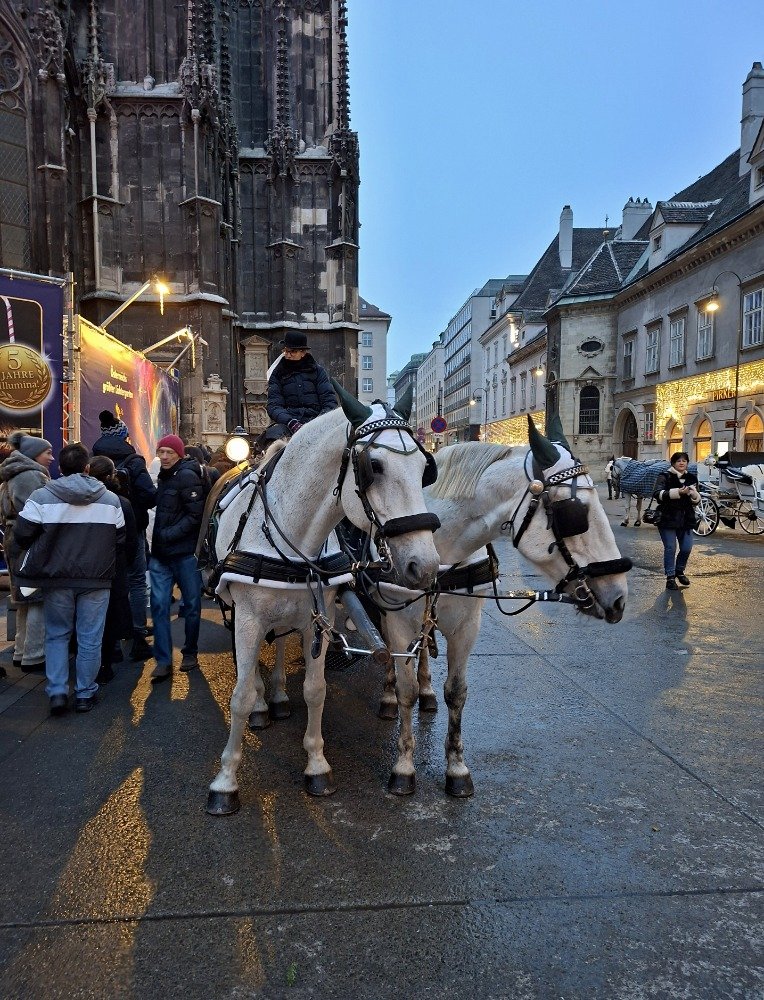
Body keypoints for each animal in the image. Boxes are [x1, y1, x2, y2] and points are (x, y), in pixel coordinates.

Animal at [206, 384, 441, 815]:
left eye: (423, 468)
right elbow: (240, 697)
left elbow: (316, 690)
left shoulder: (320, 614)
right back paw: (264, 703)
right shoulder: (247, 618)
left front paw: (316, 765)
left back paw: (278, 695)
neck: (292, 531)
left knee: (282, 642)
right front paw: (226, 780)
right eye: (374, 467)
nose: (426, 565)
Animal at [265, 415, 631, 798]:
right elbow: (405, 688)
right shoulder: (398, 620)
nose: (618, 597)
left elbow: (456, 693)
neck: (441, 546)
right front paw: (404, 767)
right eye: (574, 514)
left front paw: (456, 768)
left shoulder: (466, 626)